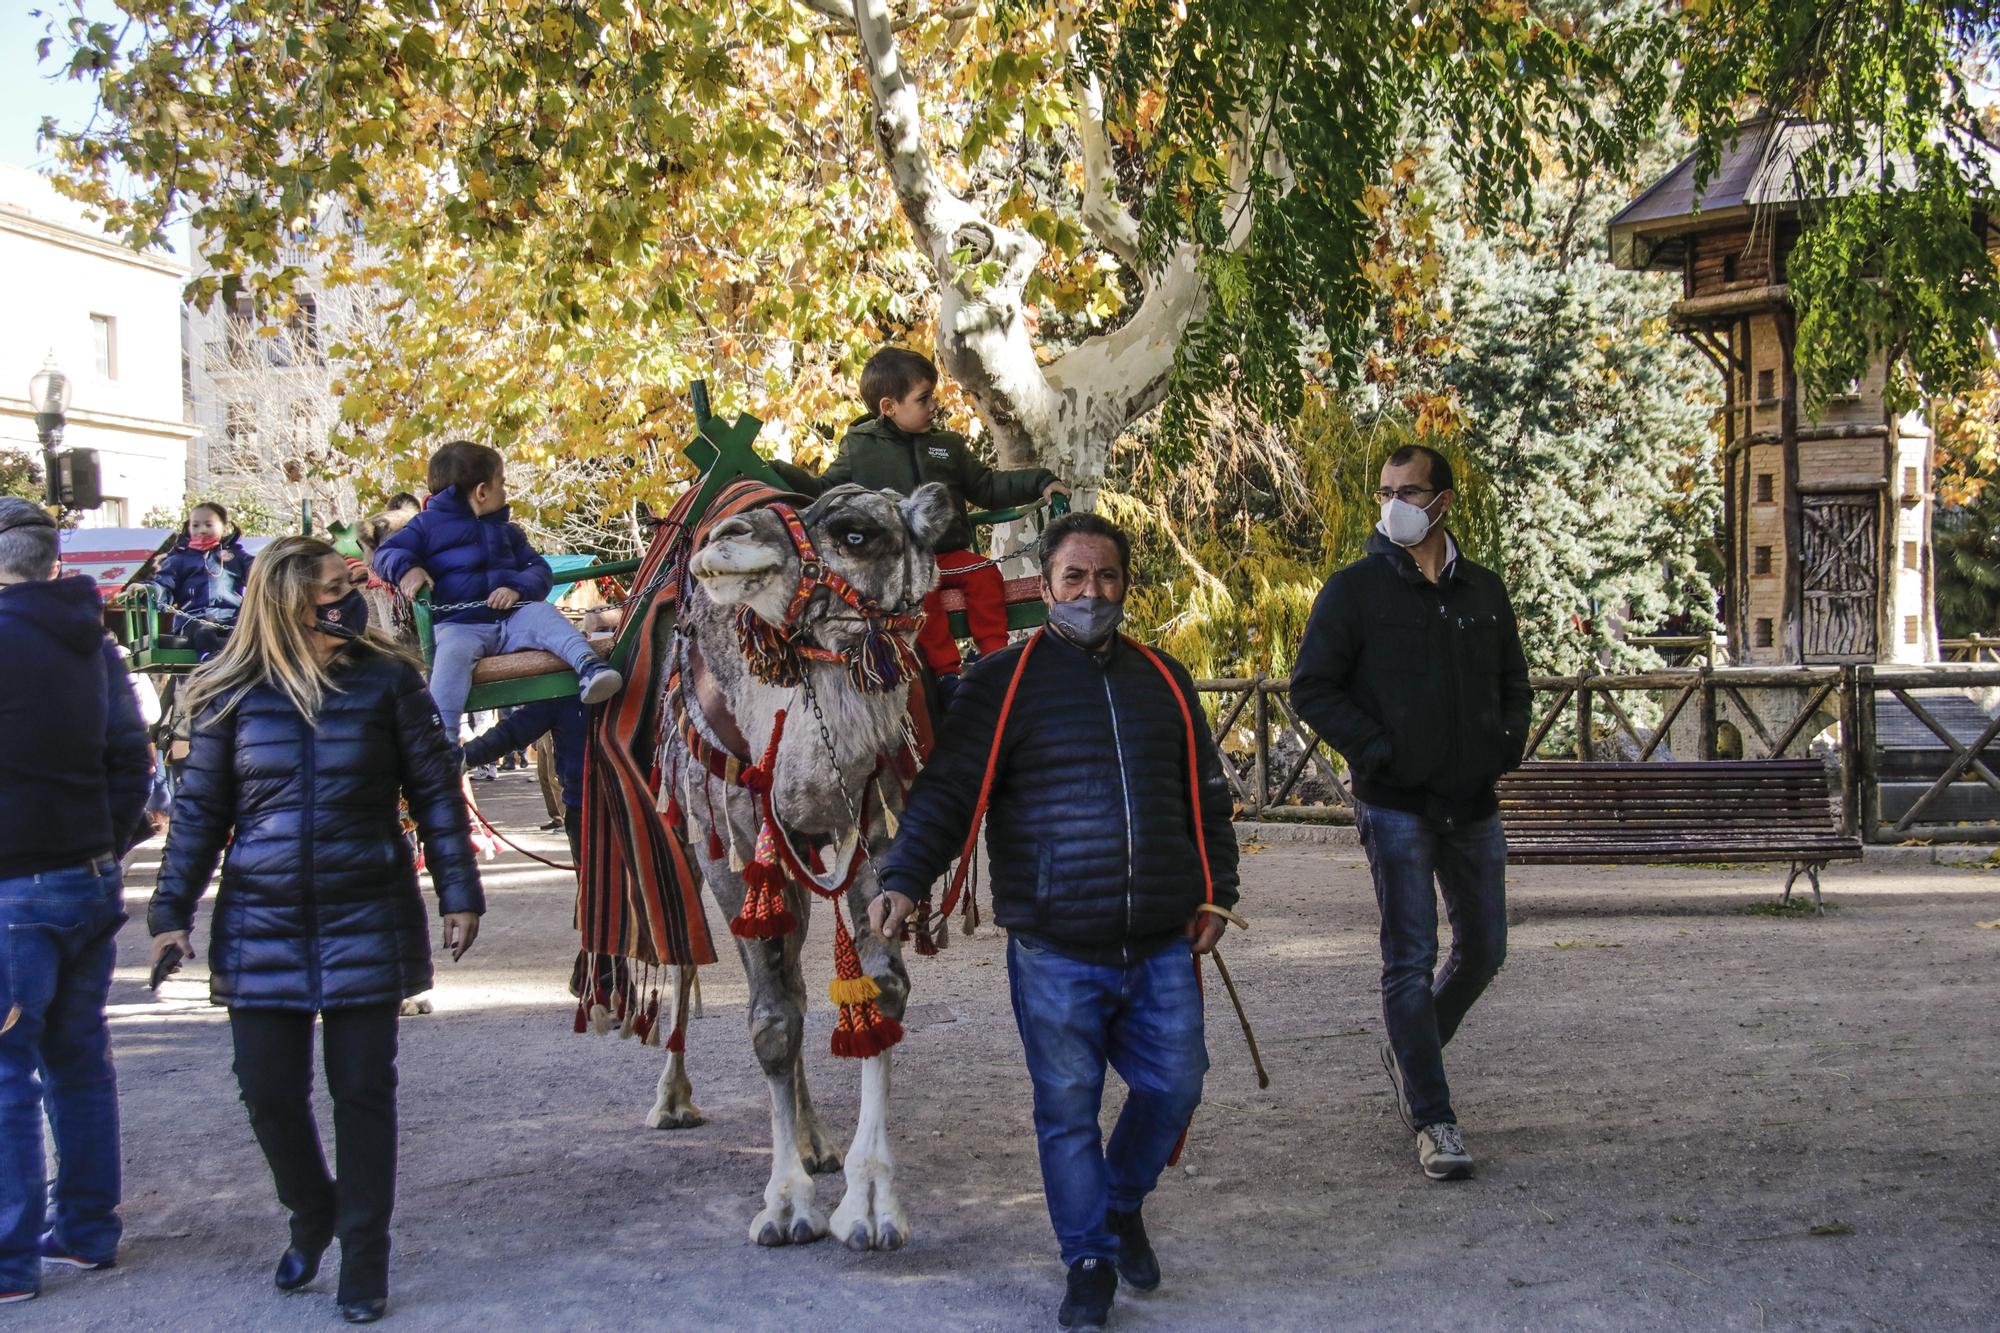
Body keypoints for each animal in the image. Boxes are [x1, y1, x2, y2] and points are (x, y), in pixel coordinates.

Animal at [640, 478, 952, 1248]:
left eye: (857, 532)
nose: (727, 539)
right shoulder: (736, 842)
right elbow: (770, 1019)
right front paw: (784, 1203)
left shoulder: (878, 821)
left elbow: (878, 994)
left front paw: (870, 1203)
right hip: (683, 836)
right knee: (684, 959)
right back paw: (673, 1100)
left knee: (804, 985)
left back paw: (816, 1141)